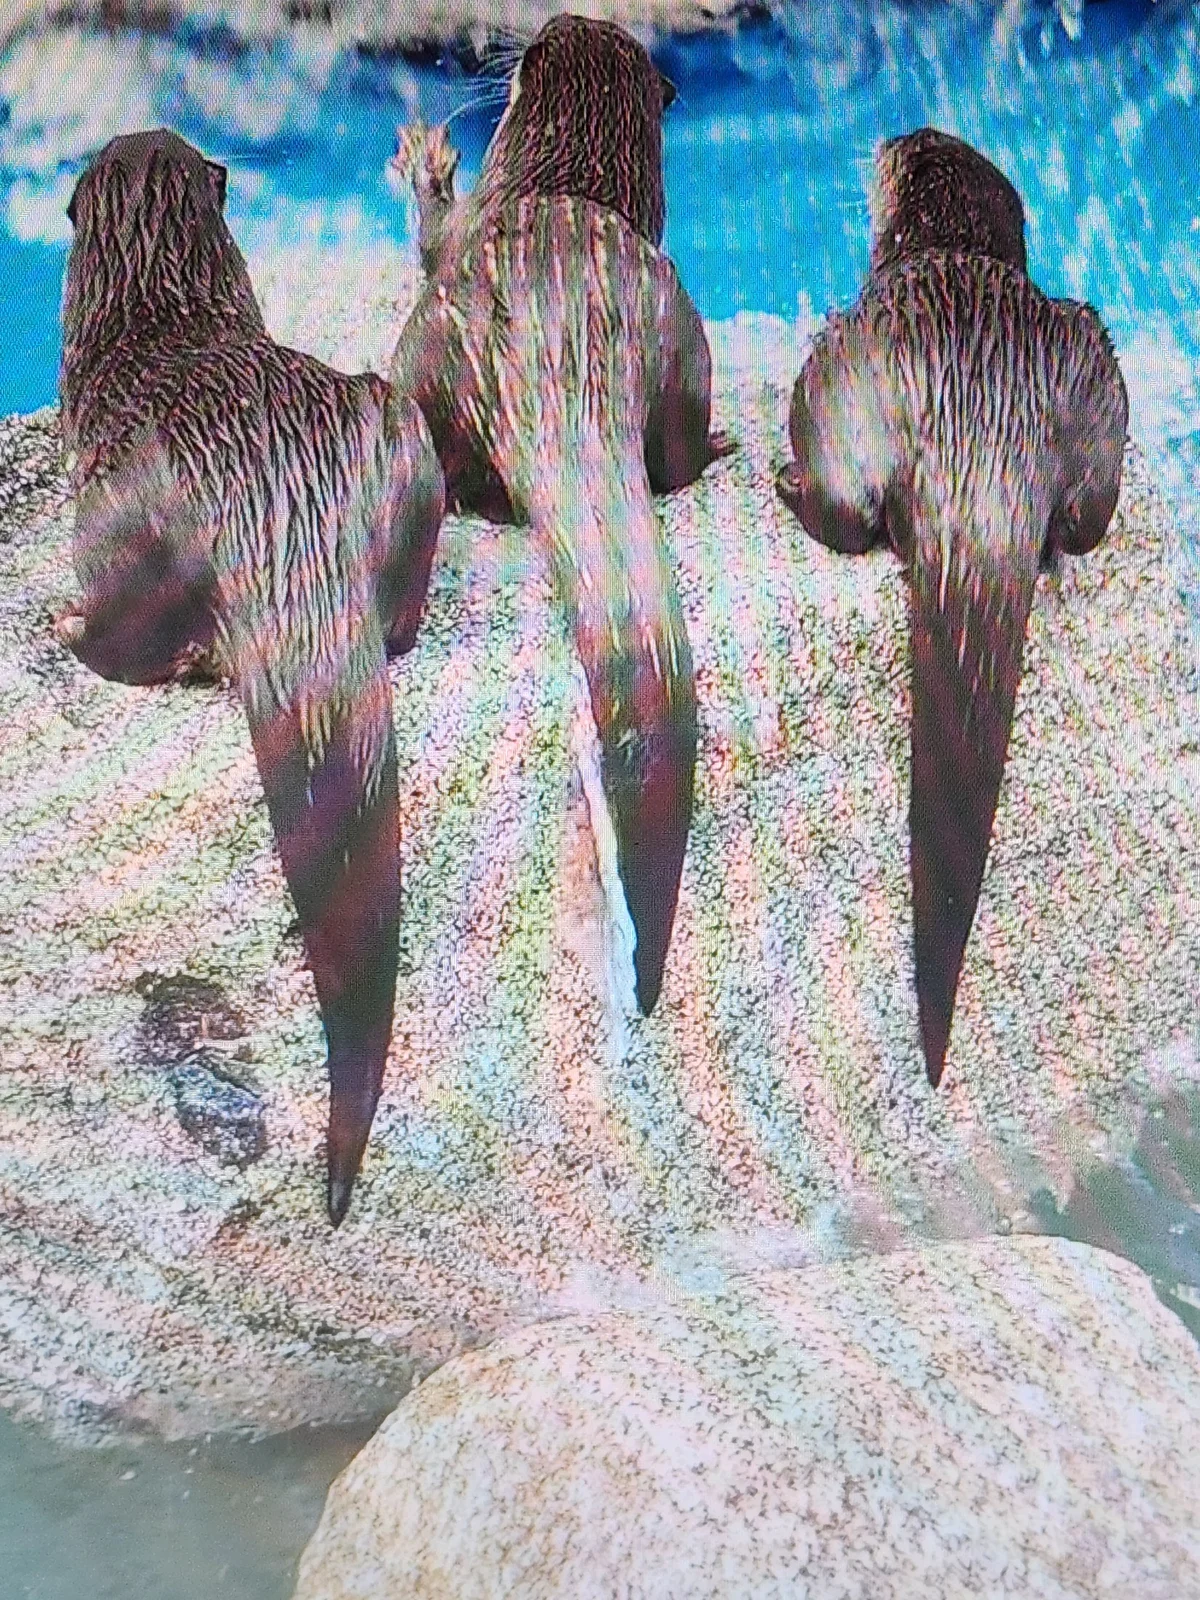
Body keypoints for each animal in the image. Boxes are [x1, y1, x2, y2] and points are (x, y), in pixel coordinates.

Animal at [59, 129, 446, 1225]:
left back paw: (71, 624)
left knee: (129, 641)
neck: (160, 306)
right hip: (399, 432)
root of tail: (273, 508)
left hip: (122, 523)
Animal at [388, 15, 729, 1015]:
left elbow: (433, 236)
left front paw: (426, 163)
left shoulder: (459, 235)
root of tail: (562, 342)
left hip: (429, 360)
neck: (562, 176)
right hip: (681, 332)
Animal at [777, 128, 1128, 1087]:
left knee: (847, 510)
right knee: (1084, 518)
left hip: (839, 373)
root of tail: (980, 452)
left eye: (904, 153)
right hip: (1094, 368)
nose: (891, 135)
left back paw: (789, 484)